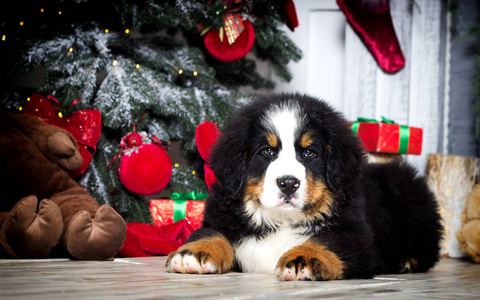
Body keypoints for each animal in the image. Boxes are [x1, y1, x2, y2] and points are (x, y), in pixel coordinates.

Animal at [166, 92, 442, 280]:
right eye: (267, 151)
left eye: (309, 153)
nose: (288, 183)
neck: (282, 221)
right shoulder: (222, 214)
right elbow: (211, 232)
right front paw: (195, 253)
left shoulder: (356, 234)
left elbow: (327, 240)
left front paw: (304, 257)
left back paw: (406, 262)